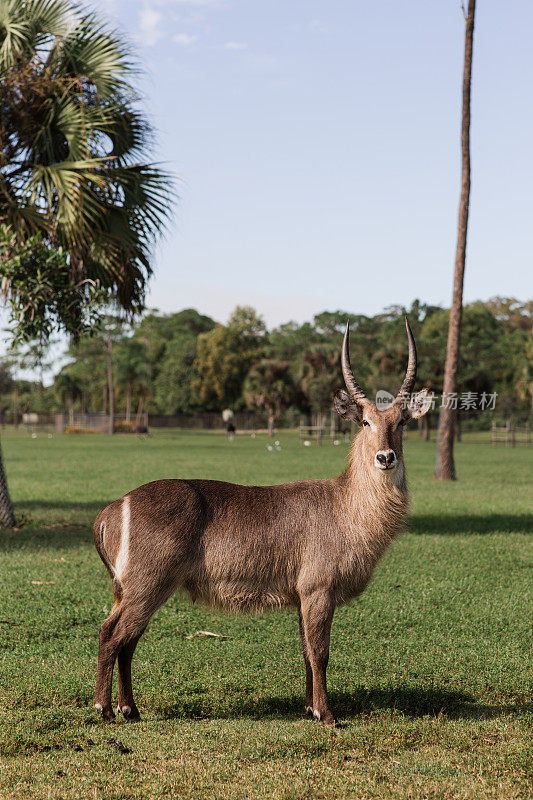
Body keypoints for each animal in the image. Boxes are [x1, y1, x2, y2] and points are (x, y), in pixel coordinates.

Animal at [93, 318, 430, 724]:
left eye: (401, 422)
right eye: (365, 421)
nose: (385, 457)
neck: (346, 507)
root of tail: (113, 507)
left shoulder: (303, 595)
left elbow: (306, 651)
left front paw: (309, 708)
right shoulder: (318, 589)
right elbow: (320, 653)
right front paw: (327, 715)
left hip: (136, 588)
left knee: (127, 640)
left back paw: (130, 709)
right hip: (148, 583)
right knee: (111, 634)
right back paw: (105, 708)